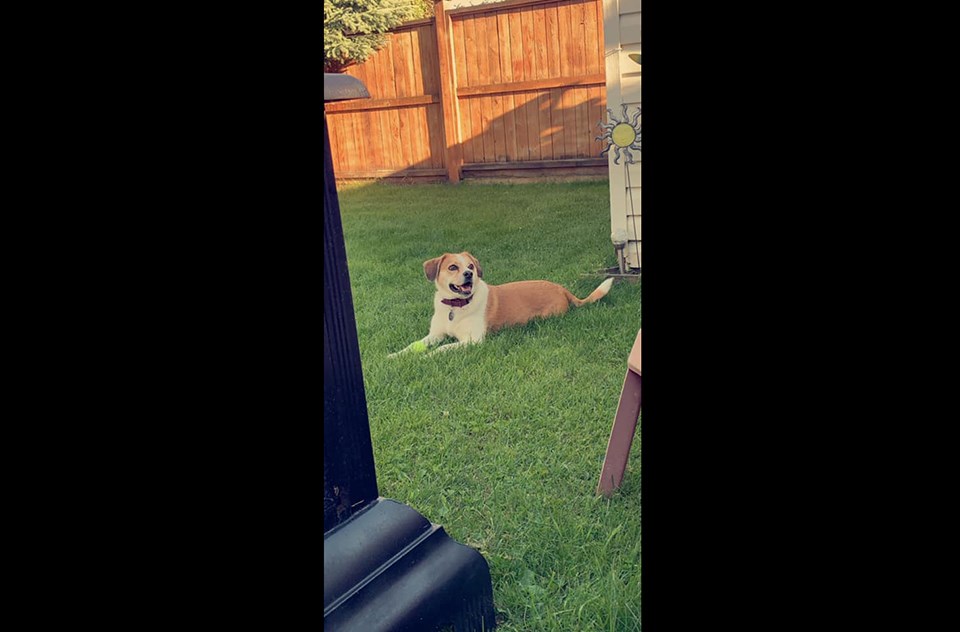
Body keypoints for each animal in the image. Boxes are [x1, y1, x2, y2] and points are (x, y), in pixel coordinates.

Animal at [390, 253, 616, 360]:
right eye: (453, 267)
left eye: (470, 266)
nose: (469, 274)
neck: (456, 307)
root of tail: (562, 289)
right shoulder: (434, 335)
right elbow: (413, 345)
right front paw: (395, 355)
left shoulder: (472, 341)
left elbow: (443, 348)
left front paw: (426, 357)